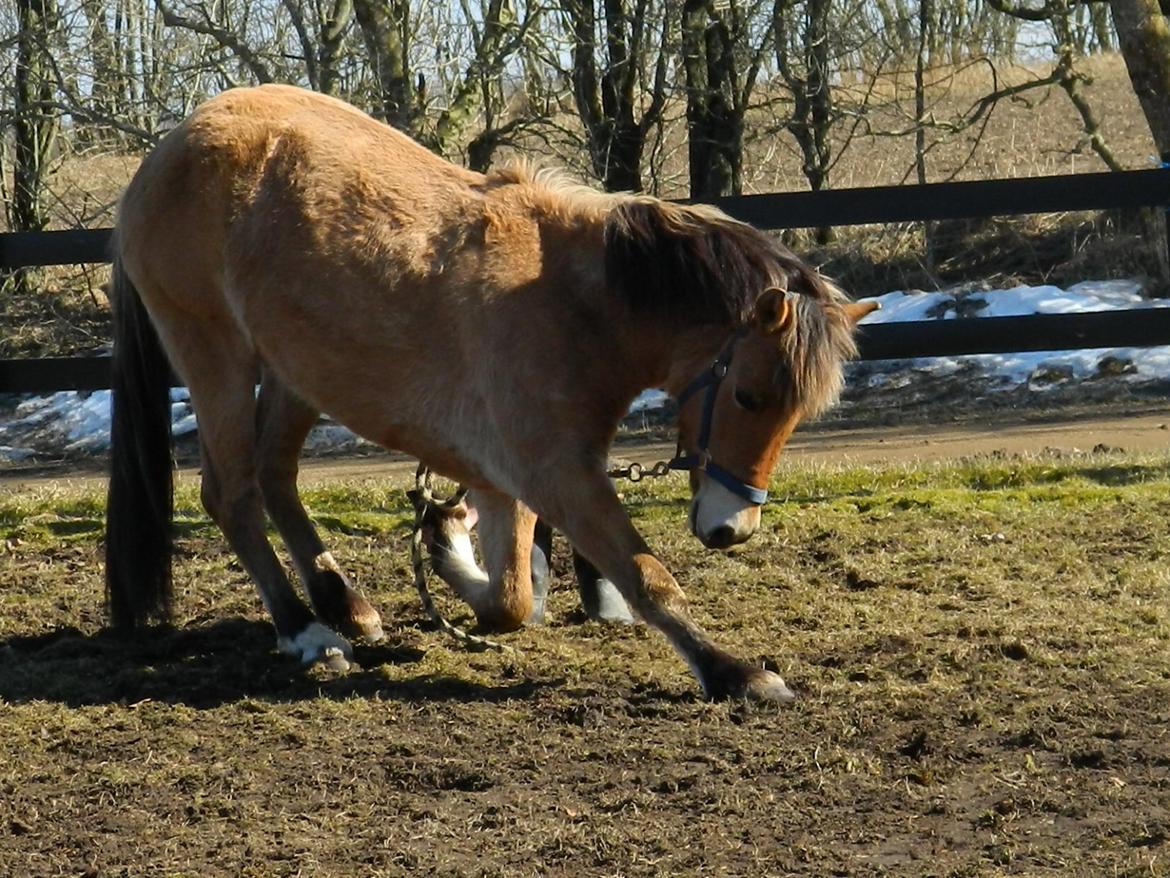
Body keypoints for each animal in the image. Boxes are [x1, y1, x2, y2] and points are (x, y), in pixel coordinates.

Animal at [109, 82, 875, 702]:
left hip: (297, 371)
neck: (570, 302)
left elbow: (510, 600)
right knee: (232, 494)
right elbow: (642, 575)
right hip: (218, 358)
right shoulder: (556, 473)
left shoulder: (510, 480)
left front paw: (448, 542)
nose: (731, 530)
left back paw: (344, 604)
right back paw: (304, 630)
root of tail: (163, 155)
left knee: (275, 476)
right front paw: (733, 672)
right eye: (748, 397)